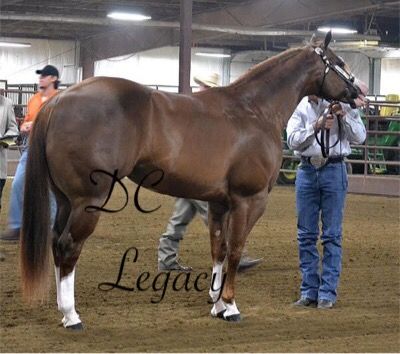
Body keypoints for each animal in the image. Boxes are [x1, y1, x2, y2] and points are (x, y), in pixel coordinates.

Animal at [21, 33, 360, 330]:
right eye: (338, 61)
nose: (358, 94)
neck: (254, 111)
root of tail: (59, 100)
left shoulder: (219, 203)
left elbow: (219, 249)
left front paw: (217, 305)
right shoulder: (248, 200)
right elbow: (235, 249)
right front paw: (231, 306)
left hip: (65, 199)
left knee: (56, 242)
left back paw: (63, 310)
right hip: (89, 201)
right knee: (68, 246)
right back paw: (72, 315)